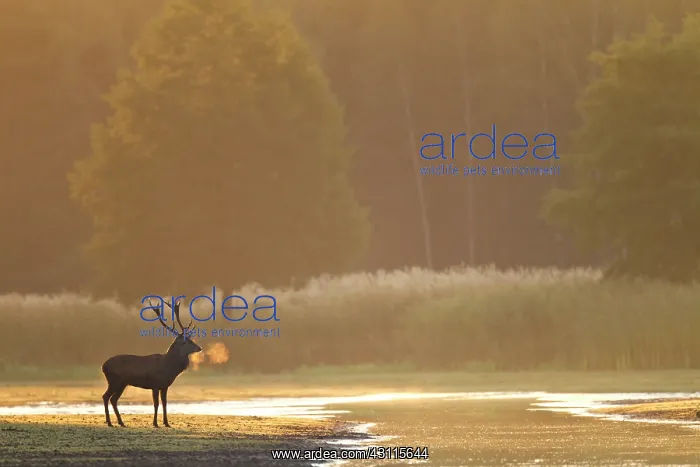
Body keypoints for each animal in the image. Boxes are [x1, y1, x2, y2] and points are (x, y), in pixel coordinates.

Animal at [101, 299, 202, 428]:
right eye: (185, 342)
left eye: (191, 339)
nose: (199, 348)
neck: (168, 368)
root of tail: (103, 366)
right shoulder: (155, 384)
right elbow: (156, 404)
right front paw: (155, 423)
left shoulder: (164, 386)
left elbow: (165, 403)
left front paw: (166, 423)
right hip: (114, 380)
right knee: (106, 396)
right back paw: (109, 422)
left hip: (122, 383)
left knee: (113, 399)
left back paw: (121, 422)